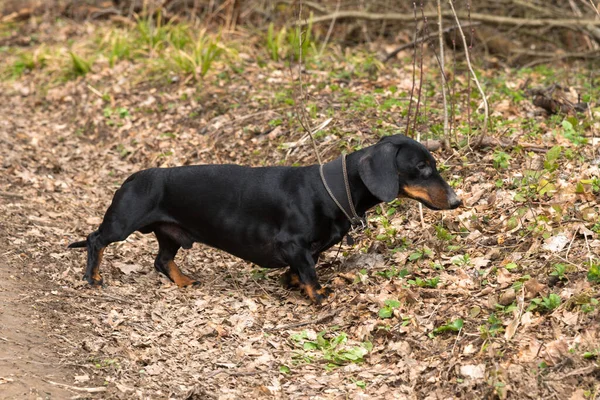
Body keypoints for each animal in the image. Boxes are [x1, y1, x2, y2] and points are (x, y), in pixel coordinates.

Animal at [69, 134, 460, 304]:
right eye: (421, 167)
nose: (457, 200)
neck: (332, 188)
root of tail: (134, 176)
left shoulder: (309, 248)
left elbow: (301, 269)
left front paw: (293, 284)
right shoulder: (293, 243)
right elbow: (311, 274)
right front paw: (319, 295)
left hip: (171, 234)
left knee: (162, 261)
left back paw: (184, 281)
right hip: (122, 223)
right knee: (95, 240)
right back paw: (93, 277)